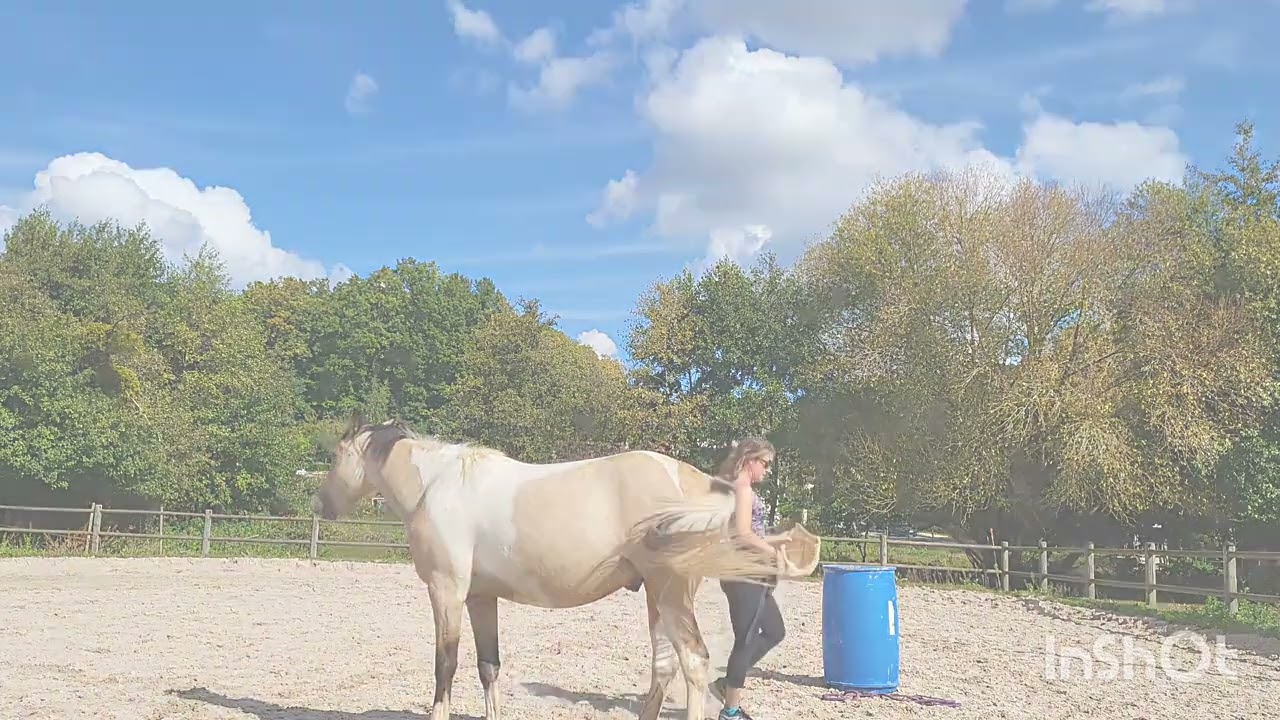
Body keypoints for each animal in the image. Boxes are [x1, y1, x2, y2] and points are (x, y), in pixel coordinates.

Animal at [311, 416, 819, 720]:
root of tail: (703, 483)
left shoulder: (446, 591)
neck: (438, 484)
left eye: (335, 456)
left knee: (693, 663)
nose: (321, 504)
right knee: (664, 666)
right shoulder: (480, 597)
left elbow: (445, 665)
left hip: (671, 593)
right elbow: (488, 666)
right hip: (659, 597)